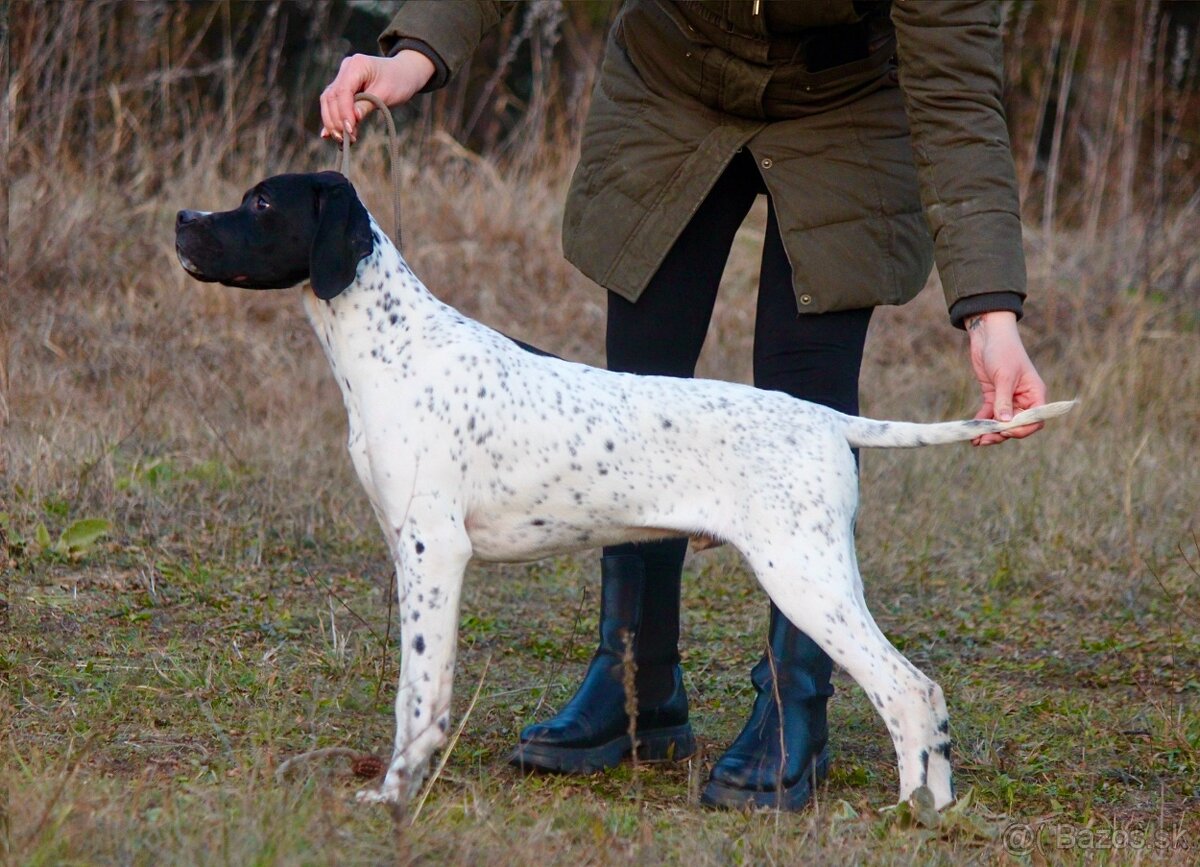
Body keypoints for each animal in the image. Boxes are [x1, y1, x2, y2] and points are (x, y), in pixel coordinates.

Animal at [175, 171, 1070, 806]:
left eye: (261, 200)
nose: (182, 219)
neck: (395, 348)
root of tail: (824, 418)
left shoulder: (433, 553)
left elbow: (417, 696)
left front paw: (394, 795)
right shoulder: (414, 553)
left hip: (804, 574)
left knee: (909, 688)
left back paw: (913, 810)